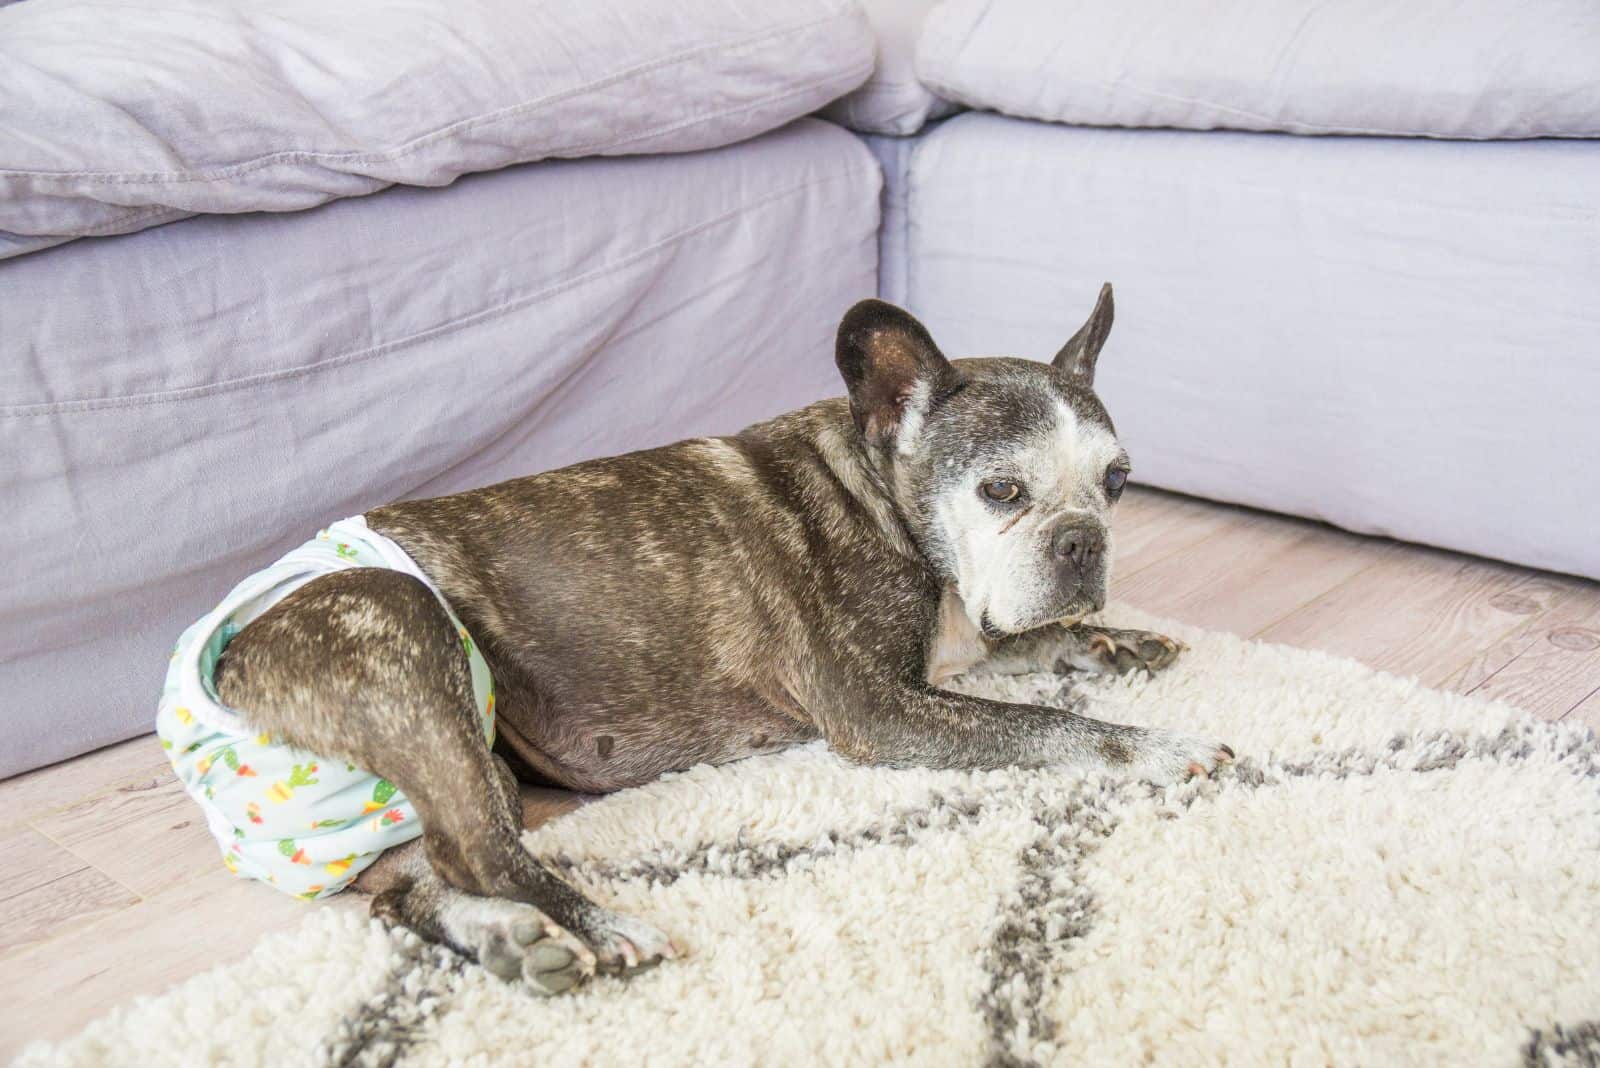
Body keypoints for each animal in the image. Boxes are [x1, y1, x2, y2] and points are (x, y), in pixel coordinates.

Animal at [209, 286, 1235, 991]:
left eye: (1118, 481)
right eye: (1002, 492)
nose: (1083, 540)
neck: (882, 491)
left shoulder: (953, 646)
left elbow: (1016, 644)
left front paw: (1117, 643)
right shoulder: (882, 711)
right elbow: (1048, 725)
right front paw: (1161, 744)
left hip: (447, 767)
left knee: (410, 881)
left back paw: (510, 940)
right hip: (402, 624)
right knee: (477, 851)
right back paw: (599, 927)